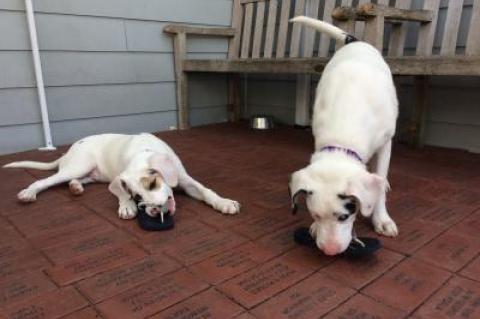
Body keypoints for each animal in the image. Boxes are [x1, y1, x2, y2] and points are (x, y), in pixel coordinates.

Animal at [4, 133, 240, 220]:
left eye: (153, 183)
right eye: (137, 196)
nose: (155, 211)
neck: (143, 150)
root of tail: (68, 152)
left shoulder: (185, 179)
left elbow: (206, 191)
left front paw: (224, 203)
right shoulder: (120, 178)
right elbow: (120, 192)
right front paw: (126, 206)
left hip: (91, 173)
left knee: (75, 180)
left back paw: (75, 188)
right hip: (79, 165)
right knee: (45, 180)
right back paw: (29, 192)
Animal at [288, 16, 398, 258]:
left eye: (344, 217)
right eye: (315, 215)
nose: (329, 251)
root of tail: (355, 41)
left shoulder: (385, 143)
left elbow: (380, 179)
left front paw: (381, 218)